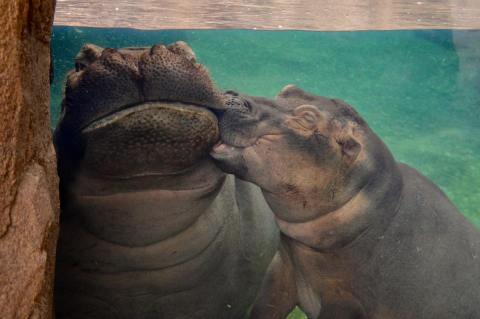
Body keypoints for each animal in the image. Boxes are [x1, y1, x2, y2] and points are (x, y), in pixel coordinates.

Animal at [211, 85, 480, 319]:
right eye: (288, 89)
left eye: (307, 118)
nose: (231, 95)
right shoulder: (283, 271)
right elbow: (264, 306)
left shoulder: (345, 299)